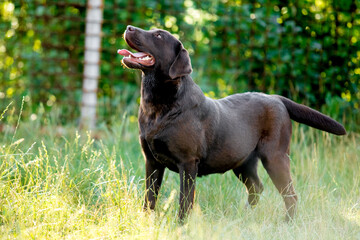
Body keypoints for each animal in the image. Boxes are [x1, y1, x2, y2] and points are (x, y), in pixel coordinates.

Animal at [118, 25, 346, 221]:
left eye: (158, 36)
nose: (129, 27)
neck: (158, 106)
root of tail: (276, 98)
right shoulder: (152, 161)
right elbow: (149, 197)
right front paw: (146, 223)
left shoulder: (188, 163)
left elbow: (185, 201)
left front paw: (181, 226)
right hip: (243, 161)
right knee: (256, 188)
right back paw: (242, 216)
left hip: (275, 157)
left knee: (290, 194)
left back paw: (287, 223)